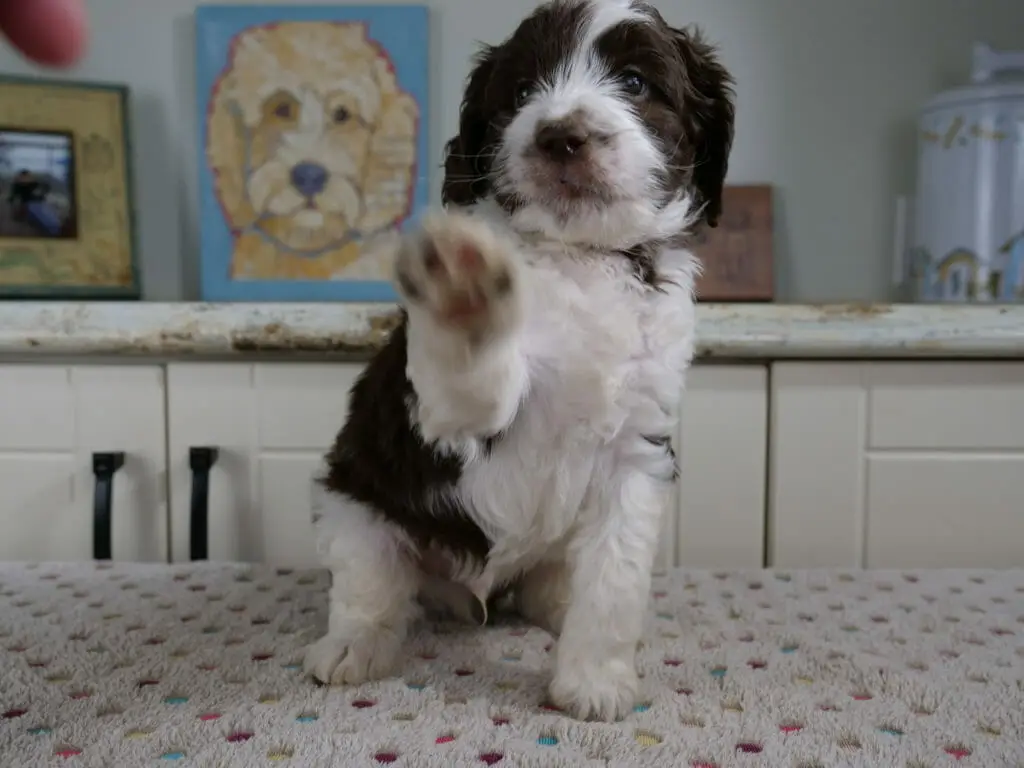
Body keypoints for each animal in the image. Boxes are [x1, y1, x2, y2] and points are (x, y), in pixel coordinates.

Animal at [303, 0, 737, 720]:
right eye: (524, 91)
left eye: (636, 83)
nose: (561, 136)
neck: (582, 256)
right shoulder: (446, 415)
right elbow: (472, 375)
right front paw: (464, 292)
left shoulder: (637, 450)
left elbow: (615, 576)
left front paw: (594, 681)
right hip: (356, 498)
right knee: (371, 583)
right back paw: (353, 645)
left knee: (551, 579)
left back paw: (557, 606)